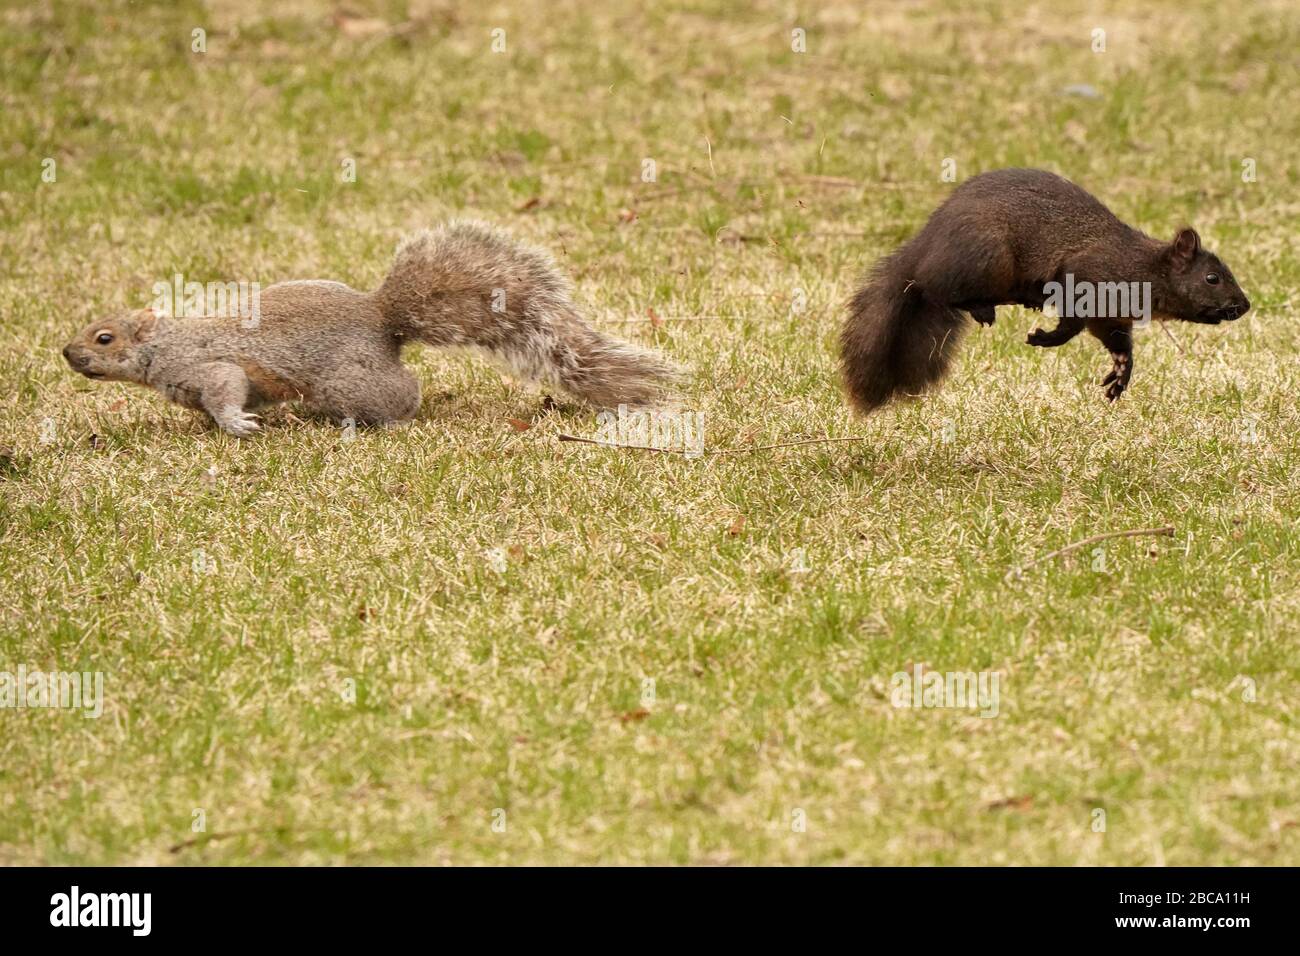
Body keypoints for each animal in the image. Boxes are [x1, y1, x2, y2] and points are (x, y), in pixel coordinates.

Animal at [63, 221, 677, 437]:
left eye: (104, 338)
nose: (67, 353)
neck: (163, 347)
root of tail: (380, 320)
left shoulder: (205, 365)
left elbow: (224, 387)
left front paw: (237, 424)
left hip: (346, 381)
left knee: (400, 396)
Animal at [840, 168, 1251, 412]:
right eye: (1212, 278)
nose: (1243, 306)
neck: (1145, 269)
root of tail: (927, 245)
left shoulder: (1110, 315)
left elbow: (1115, 340)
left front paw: (1121, 371)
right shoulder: (1086, 276)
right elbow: (1070, 323)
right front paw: (1046, 337)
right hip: (987, 255)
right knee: (939, 288)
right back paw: (984, 306)